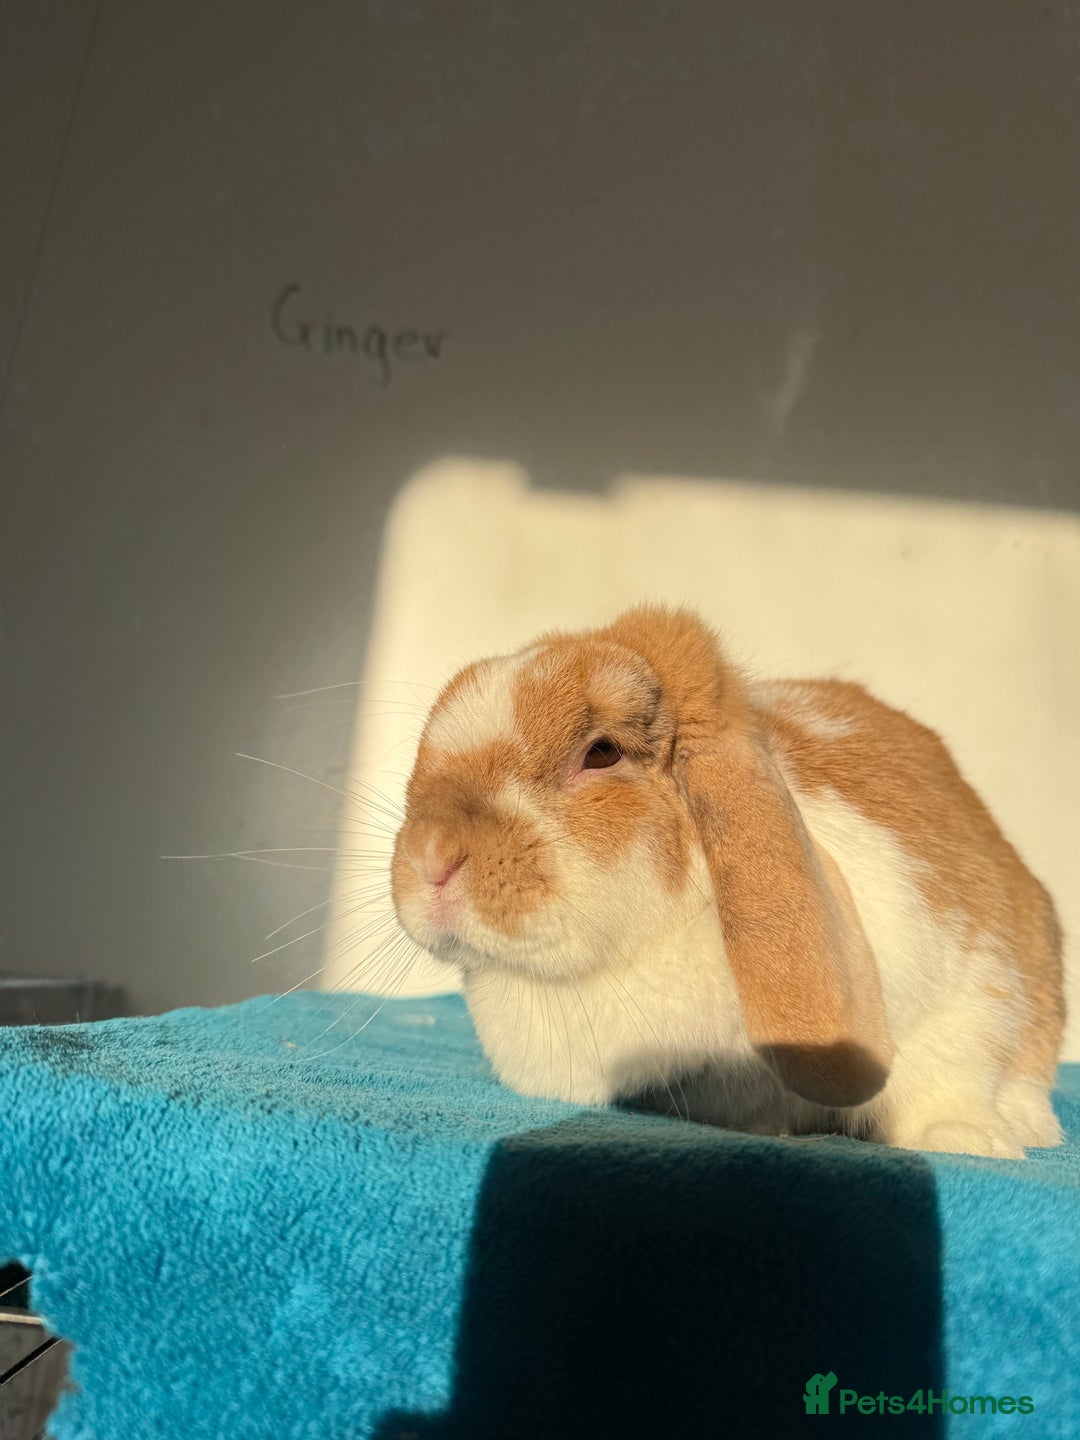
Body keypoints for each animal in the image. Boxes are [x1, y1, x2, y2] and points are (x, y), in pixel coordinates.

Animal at [390, 606, 1065, 1158]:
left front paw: (966, 1141)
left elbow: (950, 1067)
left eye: (602, 753)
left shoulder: (966, 978)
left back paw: (1032, 1127)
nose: (430, 857)